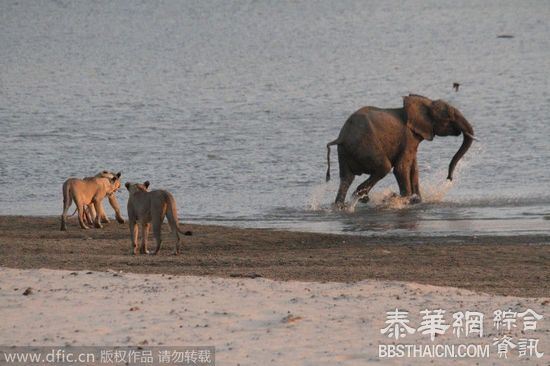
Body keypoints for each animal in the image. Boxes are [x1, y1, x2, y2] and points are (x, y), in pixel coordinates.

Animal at [326, 93, 476, 207]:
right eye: (449, 117)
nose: (449, 178)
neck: (425, 103)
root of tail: (341, 137)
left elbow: (414, 169)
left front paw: (417, 200)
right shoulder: (408, 137)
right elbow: (401, 168)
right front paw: (405, 200)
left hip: (344, 151)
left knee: (346, 178)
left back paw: (341, 205)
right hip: (365, 146)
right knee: (383, 167)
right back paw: (361, 196)